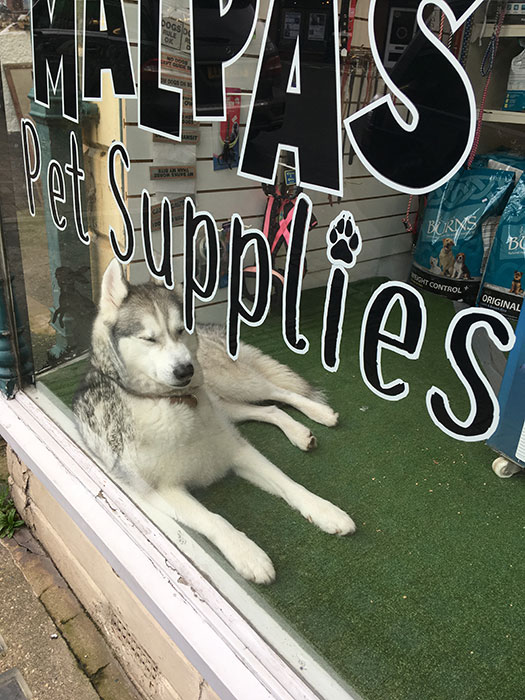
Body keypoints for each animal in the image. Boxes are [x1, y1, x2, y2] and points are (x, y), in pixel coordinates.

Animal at [71, 260, 354, 584]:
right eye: (148, 339)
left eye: (181, 330)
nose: (186, 370)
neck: (173, 404)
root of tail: (210, 328)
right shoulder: (160, 491)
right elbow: (214, 519)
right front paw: (247, 554)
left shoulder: (238, 451)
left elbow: (289, 483)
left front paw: (324, 510)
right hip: (228, 405)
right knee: (270, 410)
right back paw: (298, 432)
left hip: (236, 384)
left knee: (279, 393)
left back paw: (320, 413)